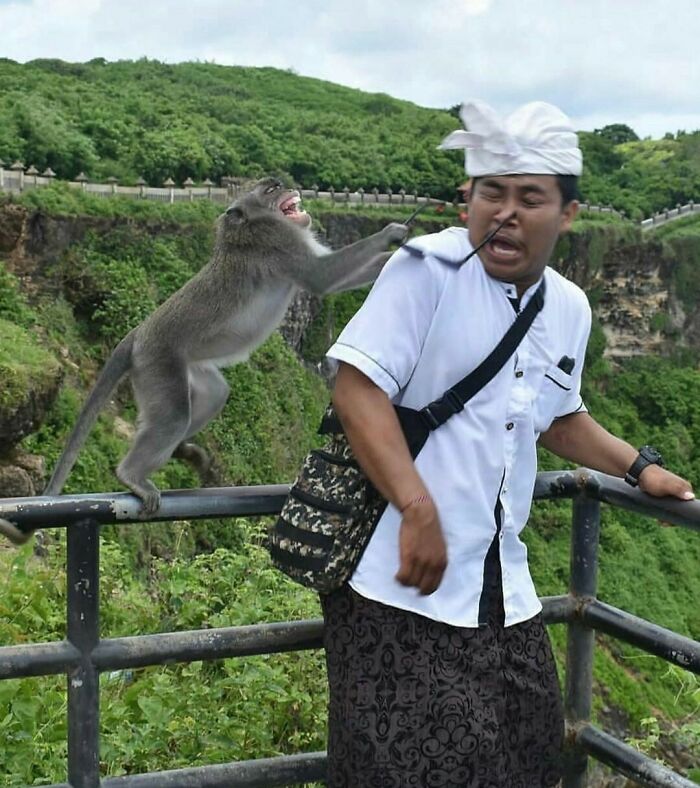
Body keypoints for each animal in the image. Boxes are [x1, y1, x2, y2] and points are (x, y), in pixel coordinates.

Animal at [0, 177, 408, 542]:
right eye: (271, 188)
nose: (289, 184)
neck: (249, 225)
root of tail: (137, 335)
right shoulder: (275, 241)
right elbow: (321, 277)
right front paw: (391, 239)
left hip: (184, 367)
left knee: (212, 394)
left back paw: (182, 450)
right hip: (158, 363)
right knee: (173, 415)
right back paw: (132, 475)